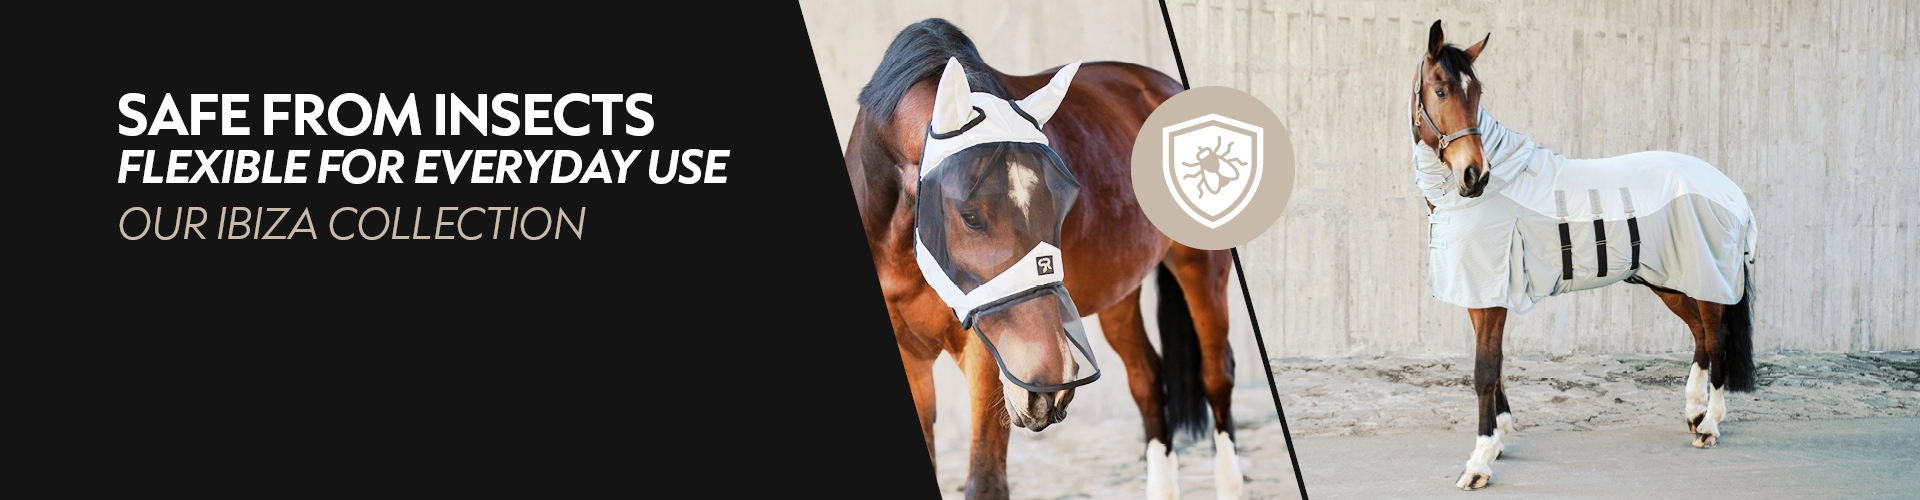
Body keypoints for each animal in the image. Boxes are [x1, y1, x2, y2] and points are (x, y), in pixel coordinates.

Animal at [844, 18, 1245, 500]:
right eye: (969, 215)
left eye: (1062, 202)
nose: (1051, 381)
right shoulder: (911, 357)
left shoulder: (988, 358)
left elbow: (985, 480)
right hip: (1118, 294)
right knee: (1148, 381)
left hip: (1201, 268)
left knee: (1216, 374)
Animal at [1409, 20, 1759, 490]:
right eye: (1441, 90)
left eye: (1477, 92)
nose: (1474, 175)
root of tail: (1728, 188)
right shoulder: (1480, 294)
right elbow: (1495, 366)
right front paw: (1499, 438)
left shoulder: (1490, 298)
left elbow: (1484, 370)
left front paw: (1479, 462)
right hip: (1671, 279)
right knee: (1701, 336)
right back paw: (1694, 413)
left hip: (1706, 278)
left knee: (1716, 339)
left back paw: (1710, 425)